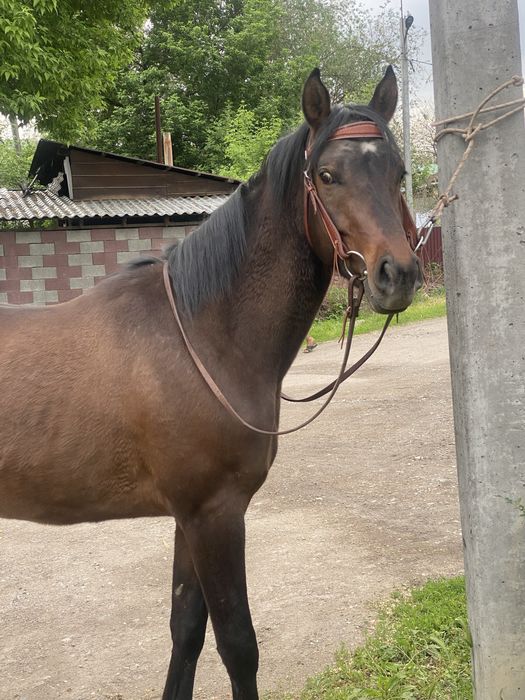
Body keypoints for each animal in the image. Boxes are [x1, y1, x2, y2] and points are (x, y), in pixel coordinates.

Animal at [0, 67, 422, 700]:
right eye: (327, 176)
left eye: (398, 173)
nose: (397, 275)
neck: (203, 336)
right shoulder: (214, 514)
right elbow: (237, 646)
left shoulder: (189, 517)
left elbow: (186, 631)